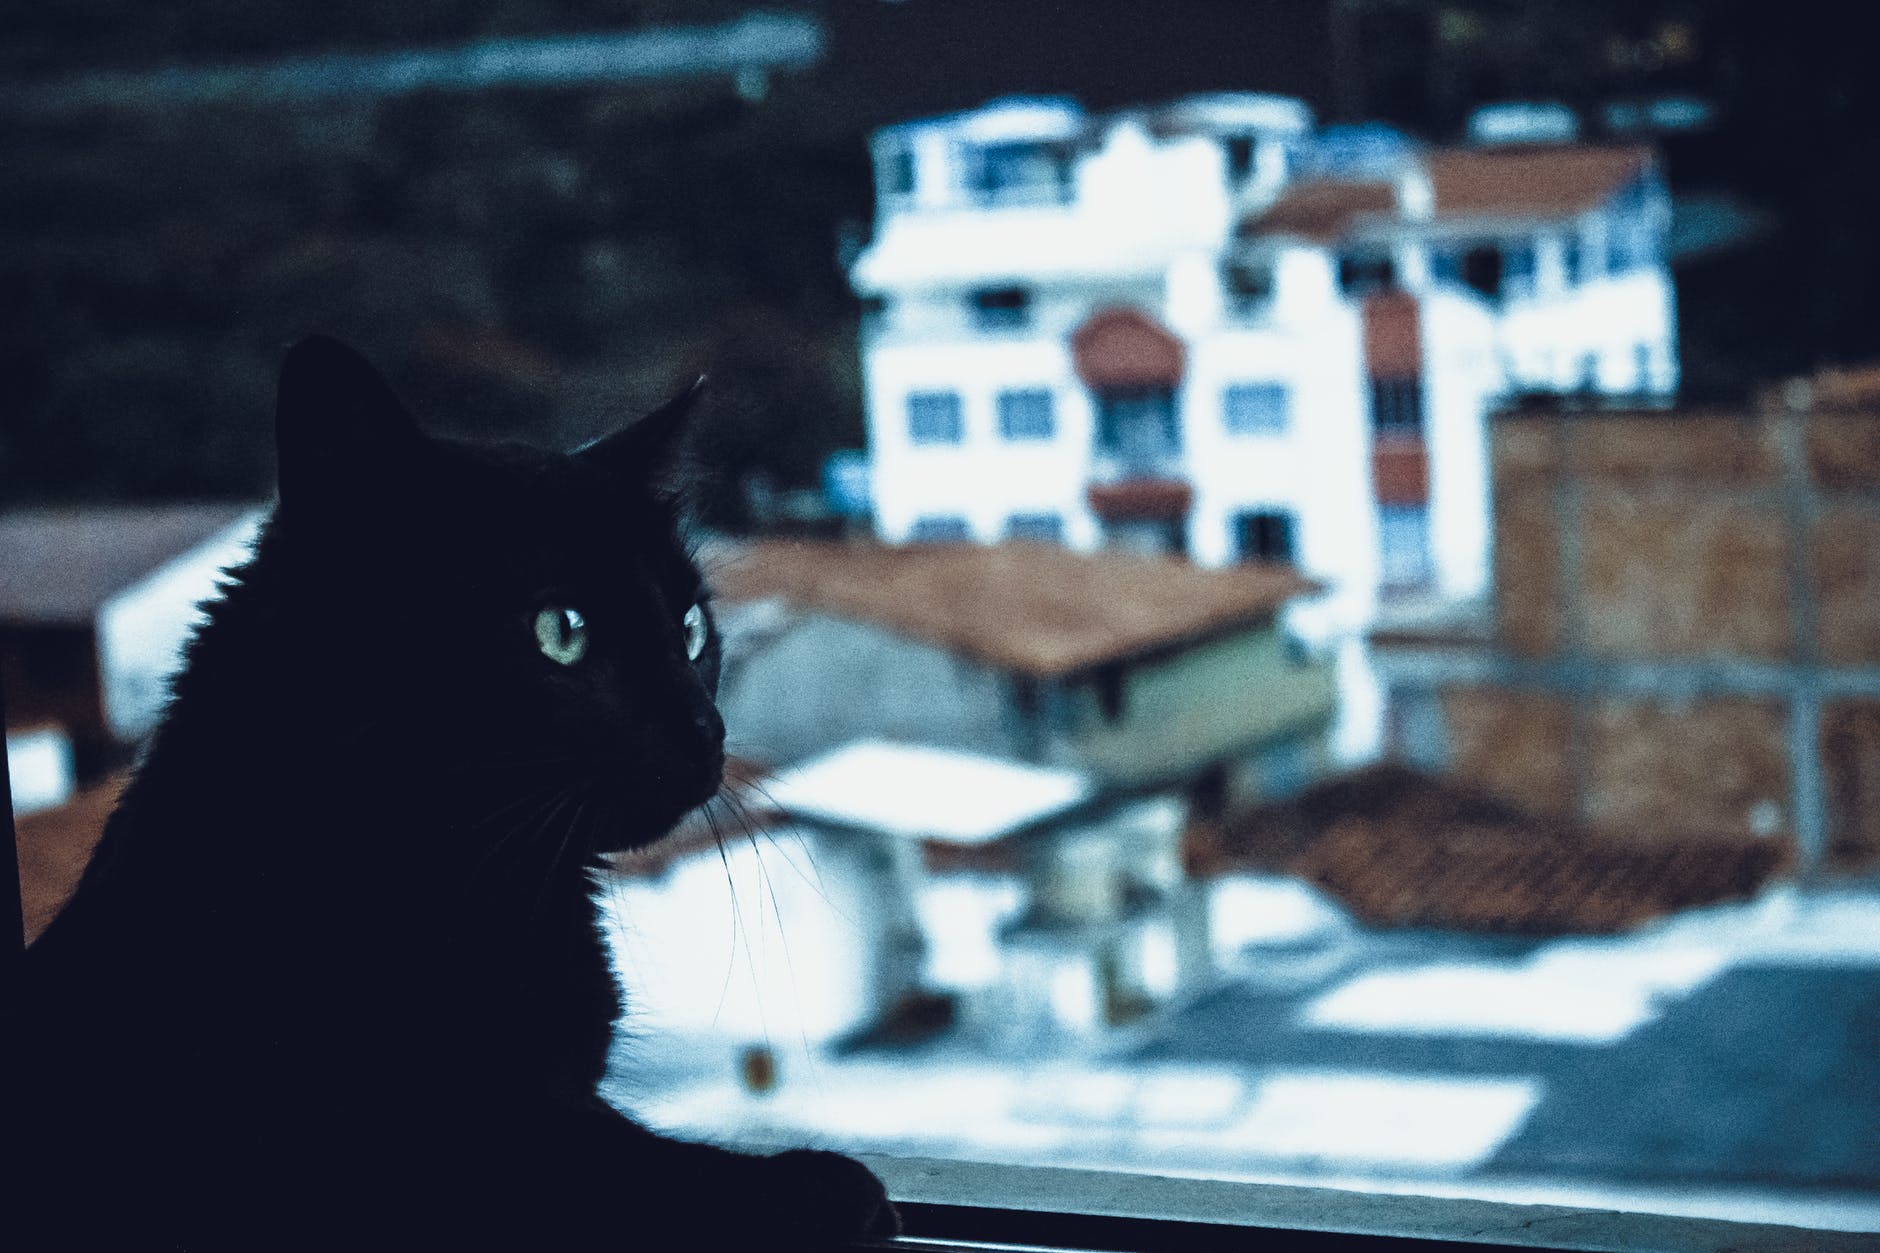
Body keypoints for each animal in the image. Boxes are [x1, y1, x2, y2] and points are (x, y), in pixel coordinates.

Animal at [11, 336, 898, 1241]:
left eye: (690, 630)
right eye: (562, 631)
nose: (705, 728)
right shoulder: (440, 1149)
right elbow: (629, 1170)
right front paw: (824, 1186)